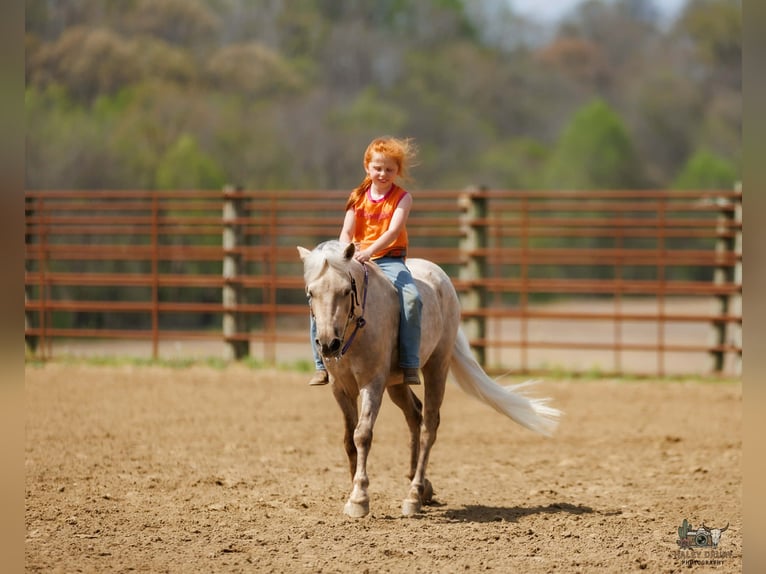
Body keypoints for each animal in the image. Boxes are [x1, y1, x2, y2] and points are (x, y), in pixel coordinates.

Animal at [297, 240, 561, 517]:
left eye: (346, 291)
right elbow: (349, 439)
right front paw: (352, 493)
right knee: (415, 414)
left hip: (437, 367)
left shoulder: (373, 383)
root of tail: (443, 281)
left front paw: (360, 498)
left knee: (429, 426)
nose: (328, 344)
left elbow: (363, 434)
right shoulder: (340, 388)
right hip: (397, 383)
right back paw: (423, 487)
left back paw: (414, 495)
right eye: (310, 293)